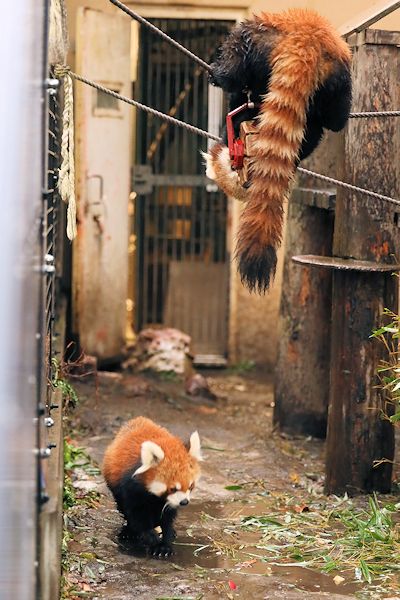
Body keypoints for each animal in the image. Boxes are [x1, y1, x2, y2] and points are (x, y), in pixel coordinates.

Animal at [103, 418, 202, 556]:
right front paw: (152, 538)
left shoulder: (169, 502)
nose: (184, 502)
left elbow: (167, 518)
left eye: (191, 486)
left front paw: (165, 543)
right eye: (173, 488)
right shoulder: (130, 489)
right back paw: (129, 531)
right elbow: (137, 516)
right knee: (123, 508)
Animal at [205, 7, 352, 292]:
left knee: (234, 64)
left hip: (254, 42)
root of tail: (306, 36)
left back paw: (218, 73)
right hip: (335, 79)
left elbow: (237, 103)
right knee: (328, 119)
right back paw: (338, 120)